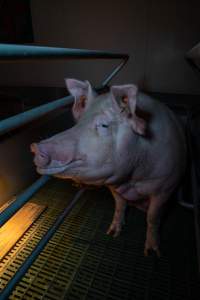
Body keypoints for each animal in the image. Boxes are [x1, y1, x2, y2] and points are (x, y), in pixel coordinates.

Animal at [30, 79, 187, 255]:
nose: (36, 147)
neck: (131, 180)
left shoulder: (165, 186)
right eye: (79, 123)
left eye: (104, 125)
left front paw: (152, 253)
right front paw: (112, 233)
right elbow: (119, 205)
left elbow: (152, 217)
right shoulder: (114, 185)